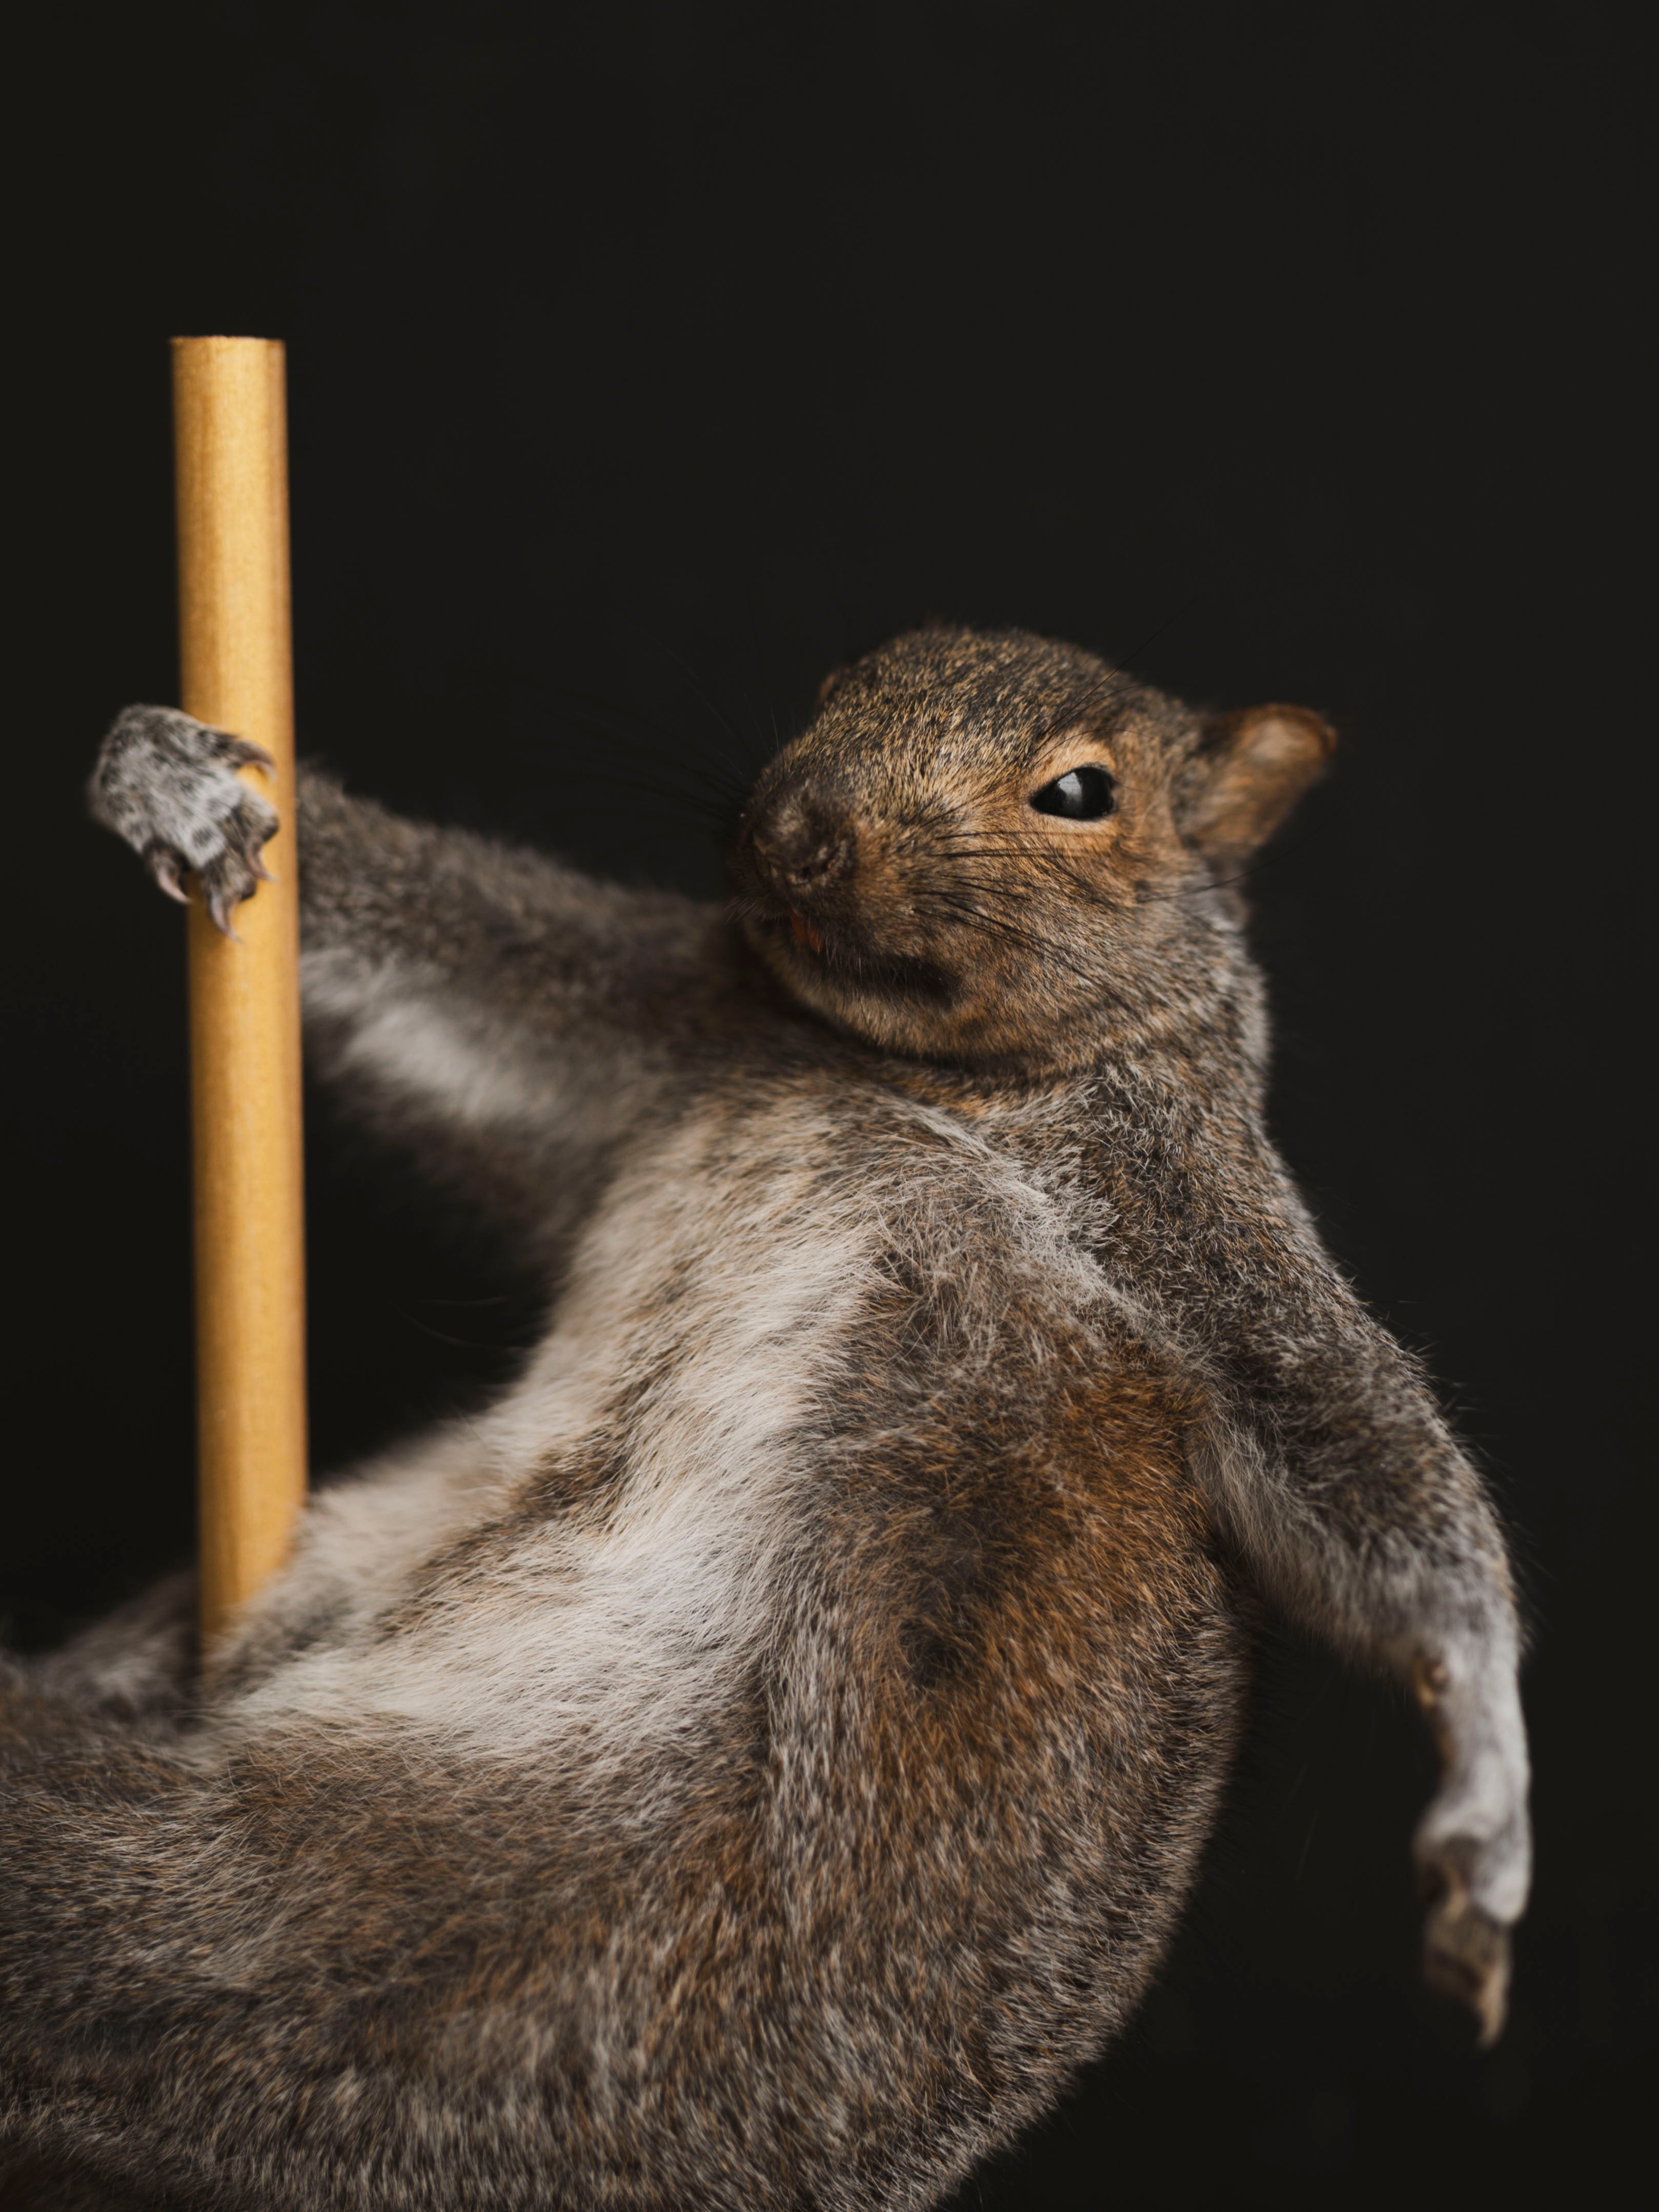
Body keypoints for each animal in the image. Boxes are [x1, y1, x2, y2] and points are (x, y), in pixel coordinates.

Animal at [0, 624, 1530, 2211]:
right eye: (836, 688)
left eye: (1081, 793)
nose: (801, 824)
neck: (894, 1073)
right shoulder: (658, 1014)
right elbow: (428, 972)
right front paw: (165, 780)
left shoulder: (1193, 1224)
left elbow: (1361, 1458)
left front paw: (1486, 1793)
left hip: (433, 1934)